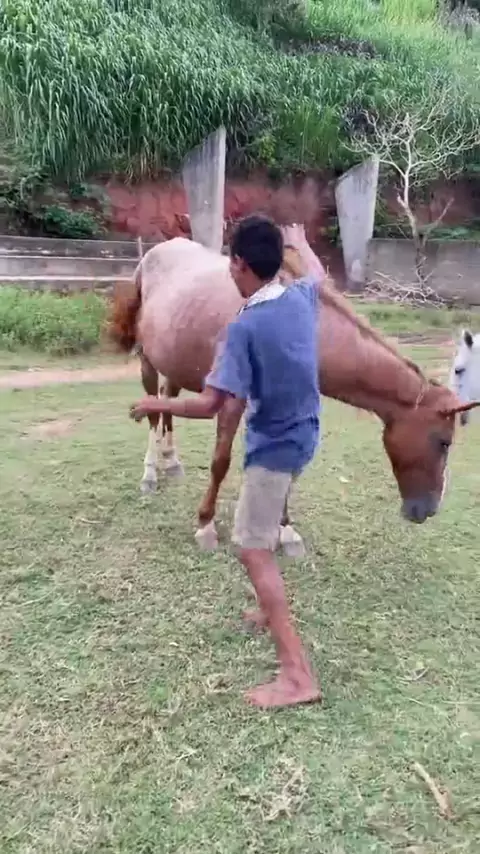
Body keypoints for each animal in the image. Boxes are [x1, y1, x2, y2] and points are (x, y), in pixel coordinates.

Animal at [107, 224, 480, 553]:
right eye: (444, 442)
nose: (427, 510)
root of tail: (154, 253)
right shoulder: (233, 400)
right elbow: (220, 461)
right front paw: (206, 524)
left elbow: (290, 462)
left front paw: (285, 530)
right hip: (148, 361)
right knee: (153, 411)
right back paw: (150, 474)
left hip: (175, 363)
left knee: (166, 403)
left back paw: (171, 461)